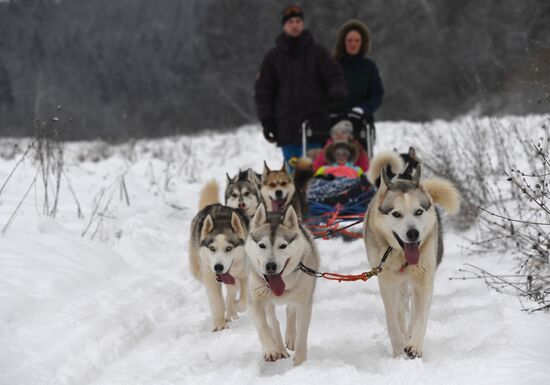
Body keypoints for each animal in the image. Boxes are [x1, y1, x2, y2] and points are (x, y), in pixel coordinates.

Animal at [190, 180, 250, 330]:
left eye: (229, 248)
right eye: (212, 248)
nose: (218, 267)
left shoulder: (244, 273)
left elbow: (242, 300)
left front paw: (234, 307)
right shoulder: (210, 277)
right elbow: (216, 302)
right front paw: (220, 325)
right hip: (198, 269)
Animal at [245, 202, 320, 364]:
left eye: (283, 246)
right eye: (262, 245)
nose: (271, 266)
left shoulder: (305, 303)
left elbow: (302, 334)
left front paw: (300, 363)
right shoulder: (254, 302)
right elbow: (263, 326)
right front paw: (271, 350)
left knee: (290, 310)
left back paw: (290, 338)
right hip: (266, 300)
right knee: (273, 321)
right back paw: (279, 348)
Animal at [366, 164, 462, 356]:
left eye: (418, 211)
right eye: (396, 214)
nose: (413, 233)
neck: (402, 256)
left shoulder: (424, 281)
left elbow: (421, 315)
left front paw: (415, 346)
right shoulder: (387, 282)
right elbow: (393, 318)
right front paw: (398, 348)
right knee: (401, 307)